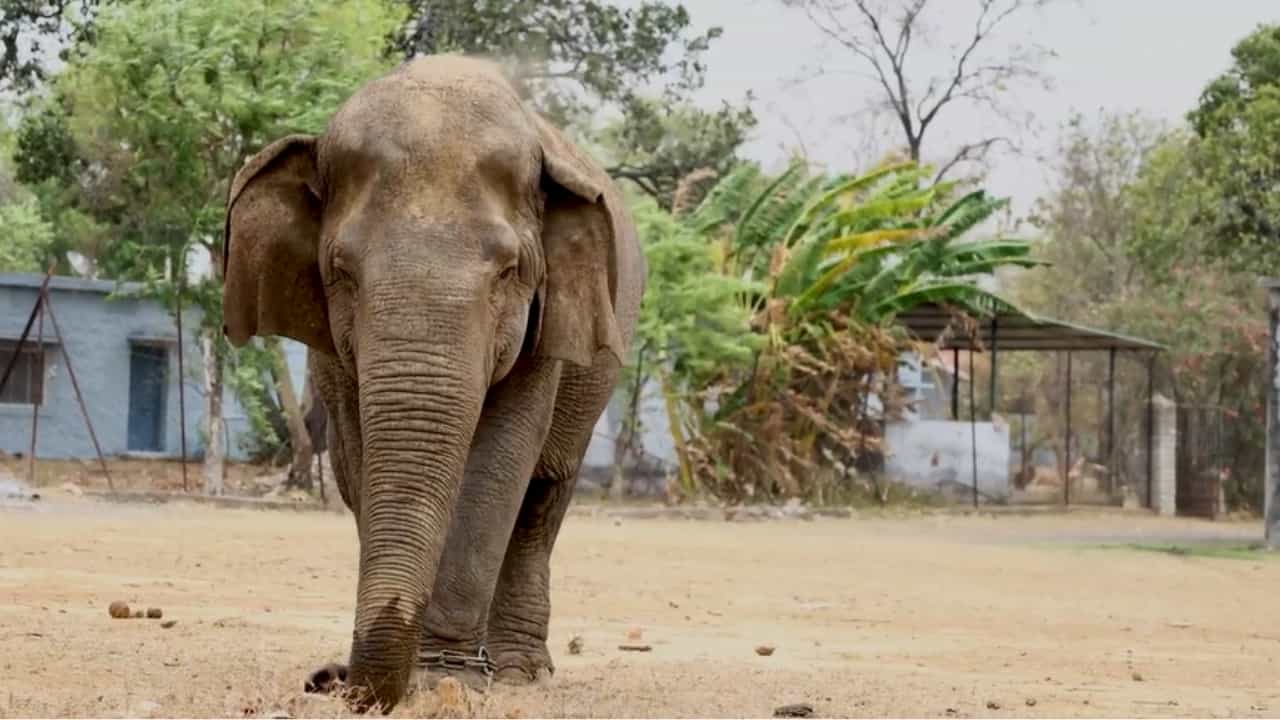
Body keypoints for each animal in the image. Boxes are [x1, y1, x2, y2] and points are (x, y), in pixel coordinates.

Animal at [220, 54, 645, 712]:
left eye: (509, 271)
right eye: (340, 270)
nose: (328, 680)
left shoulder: (542, 325)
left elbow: (500, 460)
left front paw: (448, 680)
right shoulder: (331, 350)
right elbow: (356, 459)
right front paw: (424, 674)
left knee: (544, 494)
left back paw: (519, 671)